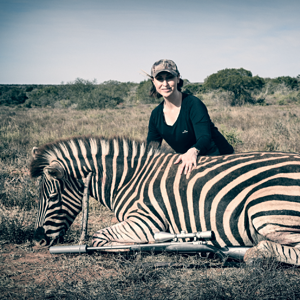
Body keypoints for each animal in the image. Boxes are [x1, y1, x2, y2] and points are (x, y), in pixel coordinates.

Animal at [29, 136, 300, 264]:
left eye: (51, 196)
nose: (39, 240)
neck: (128, 179)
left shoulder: (146, 221)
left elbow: (98, 239)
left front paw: (134, 248)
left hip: (266, 209)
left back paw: (254, 253)